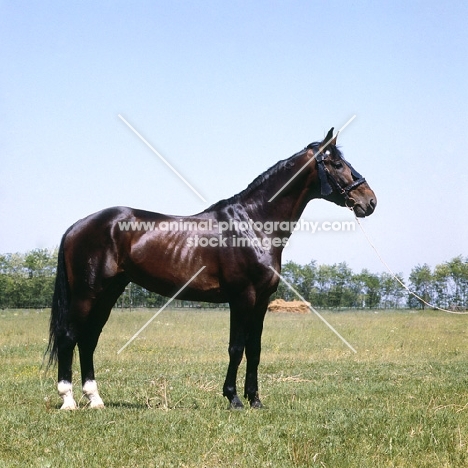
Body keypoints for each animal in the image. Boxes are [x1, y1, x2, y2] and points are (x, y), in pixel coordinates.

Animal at [46, 129, 376, 410]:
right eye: (337, 163)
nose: (370, 201)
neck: (253, 224)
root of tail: (77, 226)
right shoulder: (242, 297)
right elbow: (236, 347)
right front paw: (234, 398)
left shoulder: (262, 301)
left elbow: (255, 349)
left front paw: (255, 400)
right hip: (87, 294)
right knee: (69, 337)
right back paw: (68, 400)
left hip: (109, 293)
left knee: (88, 340)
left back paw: (95, 399)